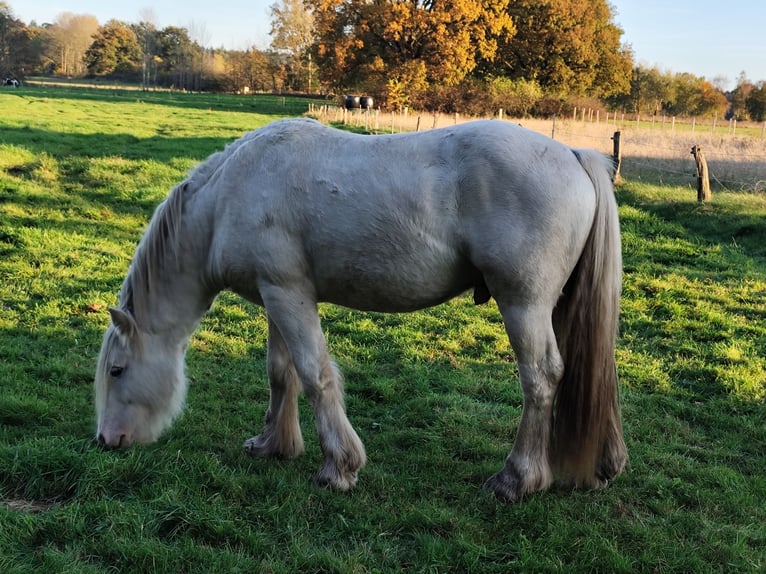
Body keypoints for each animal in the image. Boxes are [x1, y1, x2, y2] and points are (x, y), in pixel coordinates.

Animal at [93, 119, 628, 502]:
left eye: (117, 370)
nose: (105, 440)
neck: (229, 197)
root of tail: (574, 156)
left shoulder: (289, 295)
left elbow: (315, 375)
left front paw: (338, 467)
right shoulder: (276, 296)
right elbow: (281, 373)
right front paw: (272, 446)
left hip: (524, 305)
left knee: (541, 379)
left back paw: (516, 480)